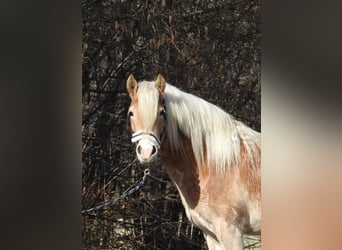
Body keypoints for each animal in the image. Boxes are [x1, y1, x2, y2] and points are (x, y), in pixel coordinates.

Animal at [127, 73, 260, 249]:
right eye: (131, 113)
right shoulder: (211, 234)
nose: (147, 152)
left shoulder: (231, 231)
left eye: (162, 112)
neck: (214, 165)